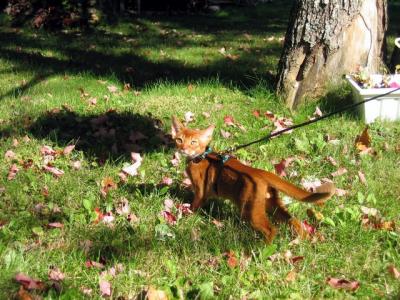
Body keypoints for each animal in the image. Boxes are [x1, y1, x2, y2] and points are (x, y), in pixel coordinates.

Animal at [170, 116, 336, 243]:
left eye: (193, 142)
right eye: (179, 140)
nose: (183, 149)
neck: (201, 157)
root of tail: (260, 172)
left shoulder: (200, 191)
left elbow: (194, 206)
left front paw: (186, 218)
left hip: (250, 210)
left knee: (271, 229)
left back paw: (261, 250)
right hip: (271, 205)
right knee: (292, 220)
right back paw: (305, 240)